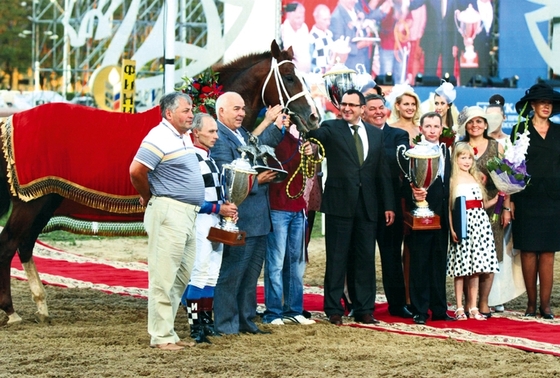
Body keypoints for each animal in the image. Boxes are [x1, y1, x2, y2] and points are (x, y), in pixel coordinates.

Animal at [0, 39, 320, 326]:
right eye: (289, 77)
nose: (314, 116)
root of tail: (9, 123)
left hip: (42, 203)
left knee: (25, 245)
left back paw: (41, 307)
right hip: (30, 204)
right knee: (9, 244)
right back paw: (12, 312)